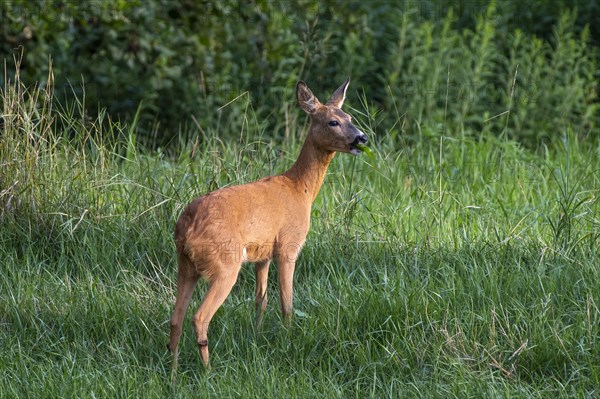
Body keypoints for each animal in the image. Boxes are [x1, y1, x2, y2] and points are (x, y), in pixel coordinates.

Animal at [166, 78, 368, 372]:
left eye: (350, 117)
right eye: (333, 121)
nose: (362, 137)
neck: (300, 189)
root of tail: (186, 227)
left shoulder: (262, 254)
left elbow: (260, 300)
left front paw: (257, 338)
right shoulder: (288, 245)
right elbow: (287, 302)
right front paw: (288, 340)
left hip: (185, 264)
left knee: (176, 317)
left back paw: (173, 372)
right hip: (225, 262)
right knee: (199, 316)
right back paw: (207, 371)